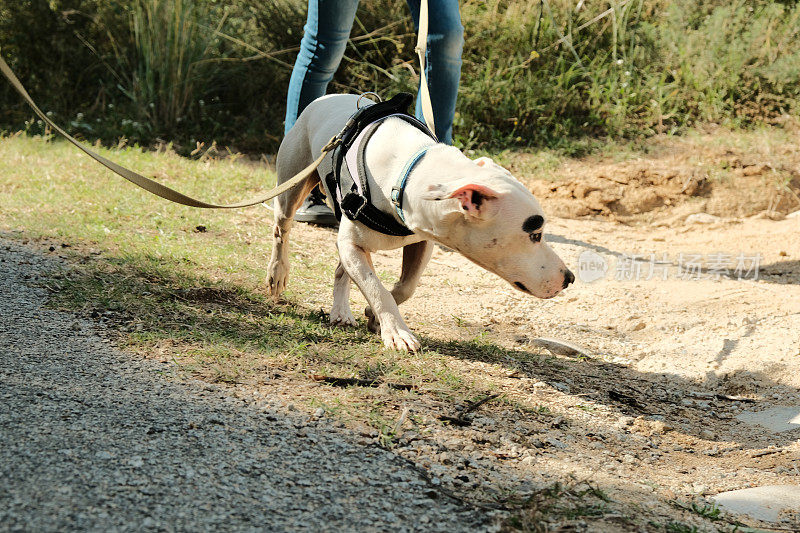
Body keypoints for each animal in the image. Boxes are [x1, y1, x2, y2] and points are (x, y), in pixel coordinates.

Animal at [270, 93, 576, 352]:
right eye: (535, 233)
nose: (570, 278)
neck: (408, 174)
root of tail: (330, 96)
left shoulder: (421, 242)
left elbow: (406, 286)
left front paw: (373, 315)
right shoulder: (352, 244)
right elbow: (376, 288)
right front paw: (396, 332)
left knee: (341, 270)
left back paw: (340, 312)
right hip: (292, 189)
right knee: (281, 230)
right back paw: (277, 272)